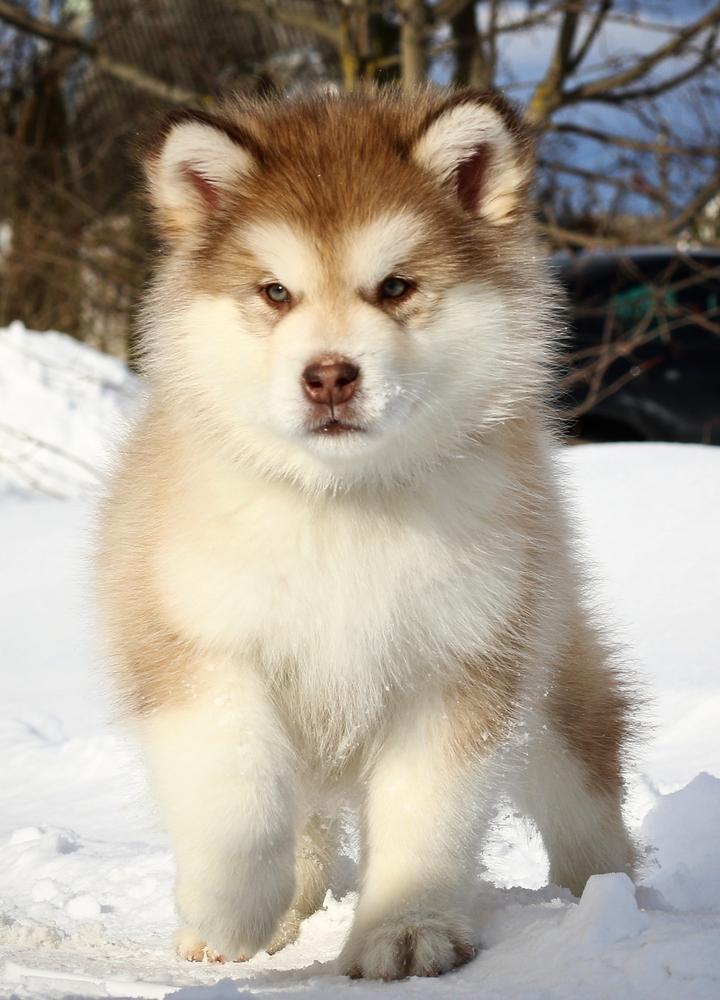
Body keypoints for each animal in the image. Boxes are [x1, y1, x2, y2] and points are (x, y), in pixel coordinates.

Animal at [95, 90, 636, 980]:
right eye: (275, 292)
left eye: (395, 286)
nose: (329, 375)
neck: (342, 503)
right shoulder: (197, 639)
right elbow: (237, 788)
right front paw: (231, 910)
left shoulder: (459, 661)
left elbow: (427, 814)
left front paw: (407, 931)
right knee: (302, 819)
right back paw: (280, 913)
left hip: (554, 677)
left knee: (587, 796)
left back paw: (612, 902)